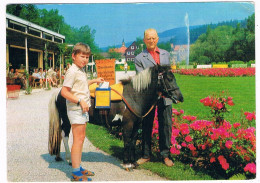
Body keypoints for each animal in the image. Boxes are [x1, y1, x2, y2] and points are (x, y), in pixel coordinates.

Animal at [48, 64, 183, 170]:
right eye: (169, 78)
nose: (180, 97)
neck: (133, 96)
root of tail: (60, 92)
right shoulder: (127, 125)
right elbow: (127, 142)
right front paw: (127, 164)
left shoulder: (136, 126)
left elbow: (133, 142)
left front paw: (133, 162)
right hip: (68, 120)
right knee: (64, 135)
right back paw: (70, 159)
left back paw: (60, 156)